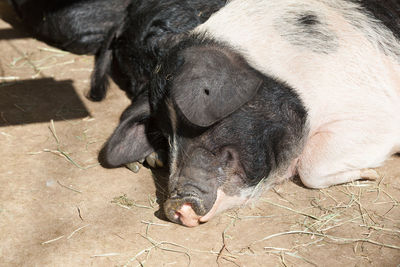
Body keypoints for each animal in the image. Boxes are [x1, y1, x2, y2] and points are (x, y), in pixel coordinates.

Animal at [101, 0, 400, 227]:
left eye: (196, 124)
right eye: (164, 135)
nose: (174, 204)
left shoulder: (377, 111)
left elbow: (310, 166)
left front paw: (371, 175)